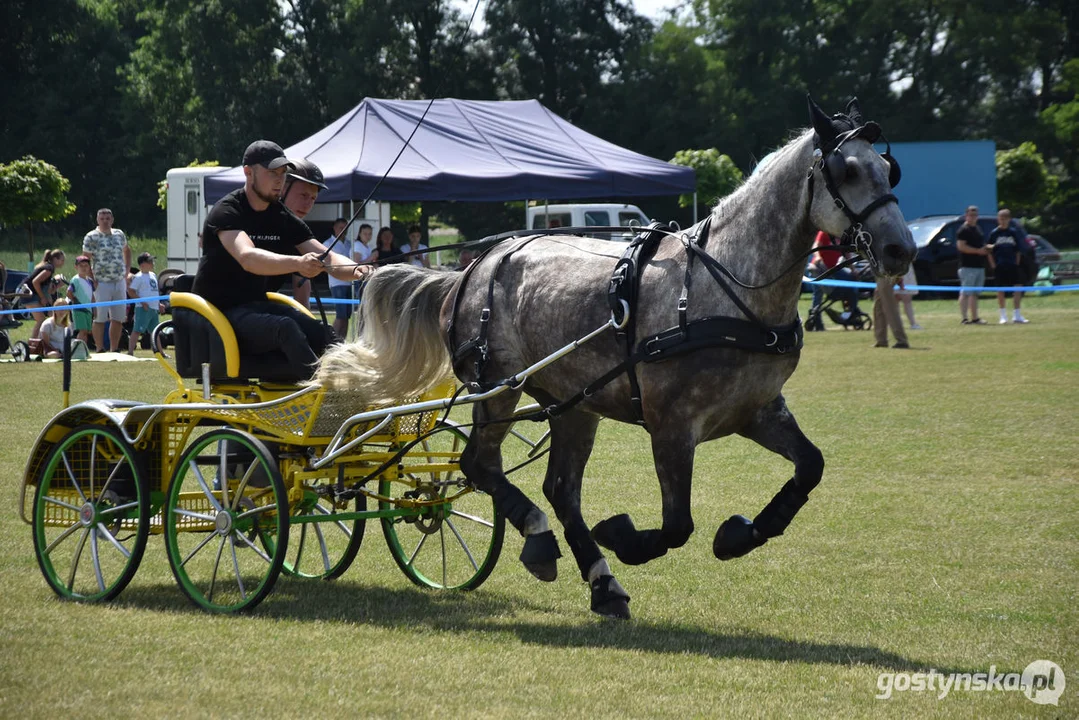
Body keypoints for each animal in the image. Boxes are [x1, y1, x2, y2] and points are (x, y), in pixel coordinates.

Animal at [315, 97, 914, 621]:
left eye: (889, 170)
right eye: (848, 171)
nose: (900, 251)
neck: (726, 289)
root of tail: (468, 270)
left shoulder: (759, 410)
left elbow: (810, 466)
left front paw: (741, 534)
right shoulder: (671, 426)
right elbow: (677, 525)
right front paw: (625, 537)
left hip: (572, 404)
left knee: (560, 490)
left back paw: (601, 583)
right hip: (499, 386)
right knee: (479, 466)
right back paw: (544, 543)